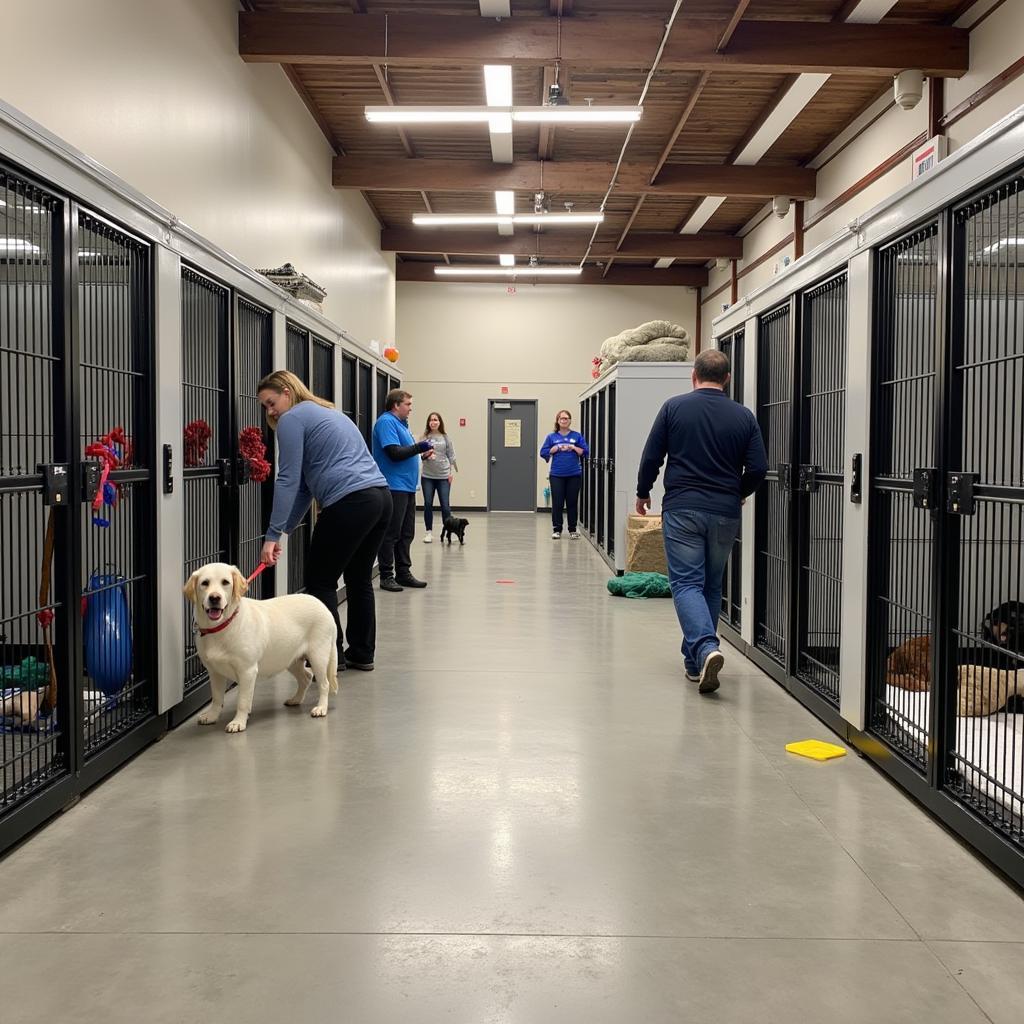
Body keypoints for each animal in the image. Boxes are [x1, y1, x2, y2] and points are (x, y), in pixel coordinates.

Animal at [184, 565, 339, 733]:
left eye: (225, 582)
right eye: (205, 583)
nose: (214, 598)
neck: (222, 626)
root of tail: (324, 606)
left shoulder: (247, 671)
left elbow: (243, 701)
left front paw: (238, 722)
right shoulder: (214, 672)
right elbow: (217, 698)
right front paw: (212, 716)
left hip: (318, 657)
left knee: (324, 684)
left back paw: (321, 708)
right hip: (290, 659)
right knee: (306, 677)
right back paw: (295, 699)